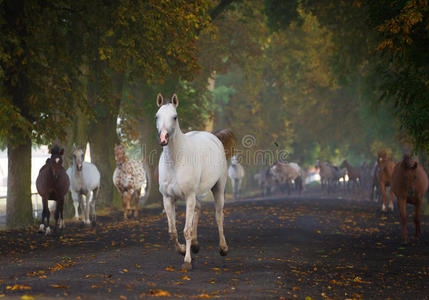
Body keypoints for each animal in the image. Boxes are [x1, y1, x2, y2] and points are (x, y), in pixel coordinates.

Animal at [155, 93, 234, 270]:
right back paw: (196, 245)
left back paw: (223, 248)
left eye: (175, 117)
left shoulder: (189, 197)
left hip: (218, 188)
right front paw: (183, 250)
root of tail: (214, 137)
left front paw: (187, 261)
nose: (163, 138)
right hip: (197, 195)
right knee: (198, 210)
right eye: (157, 116)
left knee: (218, 215)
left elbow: (187, 230)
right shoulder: (168, 198)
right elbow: (172, 231)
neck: (176, 162)